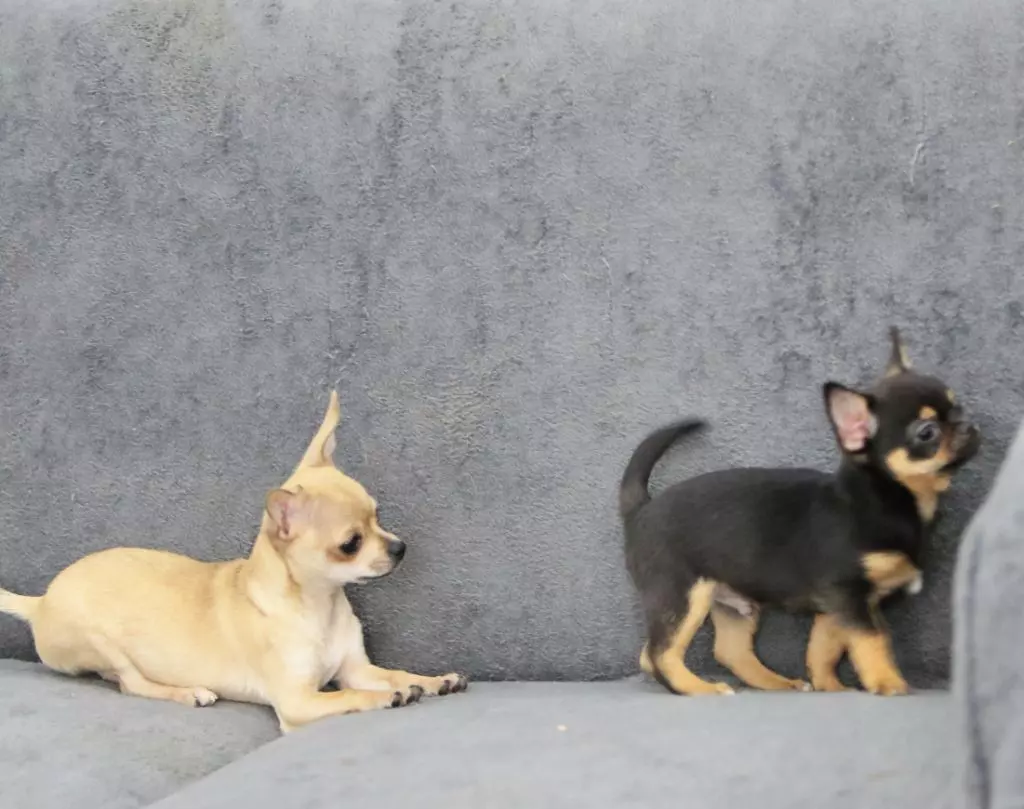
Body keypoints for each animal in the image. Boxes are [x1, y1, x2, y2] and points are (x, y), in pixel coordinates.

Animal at [618, 329, 978, 696]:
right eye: (927, 432)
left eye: (958, 406)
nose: (967, 426)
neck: (889, 497)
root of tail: (641, 510)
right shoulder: (849, 595)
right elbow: (872, 641)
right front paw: (887, 681)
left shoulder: (839, 607)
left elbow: (824, 648)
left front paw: (831, 687)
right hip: (682, 595)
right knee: (658, 654)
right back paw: (700, 689)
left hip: (733, 606)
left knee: (729, 651)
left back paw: (778, 683)